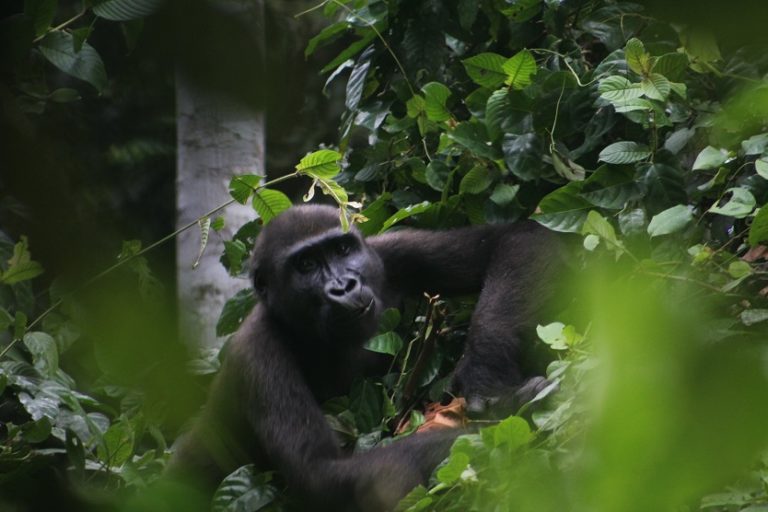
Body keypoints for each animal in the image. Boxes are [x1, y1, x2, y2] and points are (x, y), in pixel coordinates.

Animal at [170, 203, 560, 508]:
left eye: (342, 249)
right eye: (306, 264)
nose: (344, 286)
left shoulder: (390, 251)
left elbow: (515, 238)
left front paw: (485, 373)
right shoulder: (255, 353)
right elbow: (324, 474)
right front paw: (512, 420)